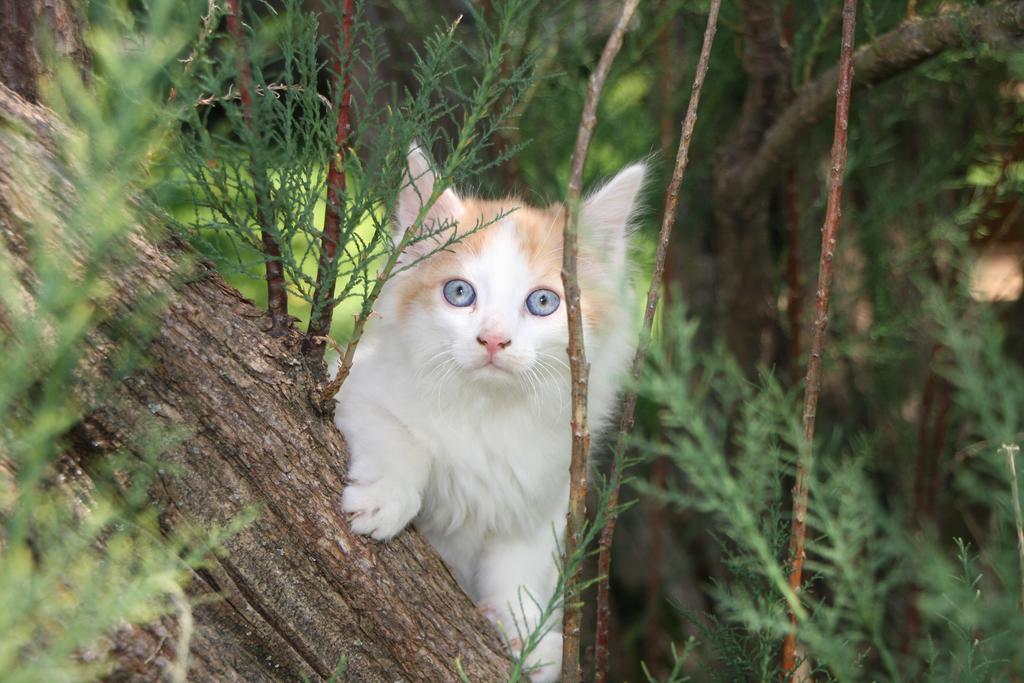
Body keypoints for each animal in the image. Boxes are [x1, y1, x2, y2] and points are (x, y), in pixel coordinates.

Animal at [333, 145, 638, 683]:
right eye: (460, 294)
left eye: (543, 302)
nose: (493, 339)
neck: (488, 413)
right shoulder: (349, 384)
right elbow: (399, 436)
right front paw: (385, 497)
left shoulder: (547, 495)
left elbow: (519, 563)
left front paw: (523, 630)